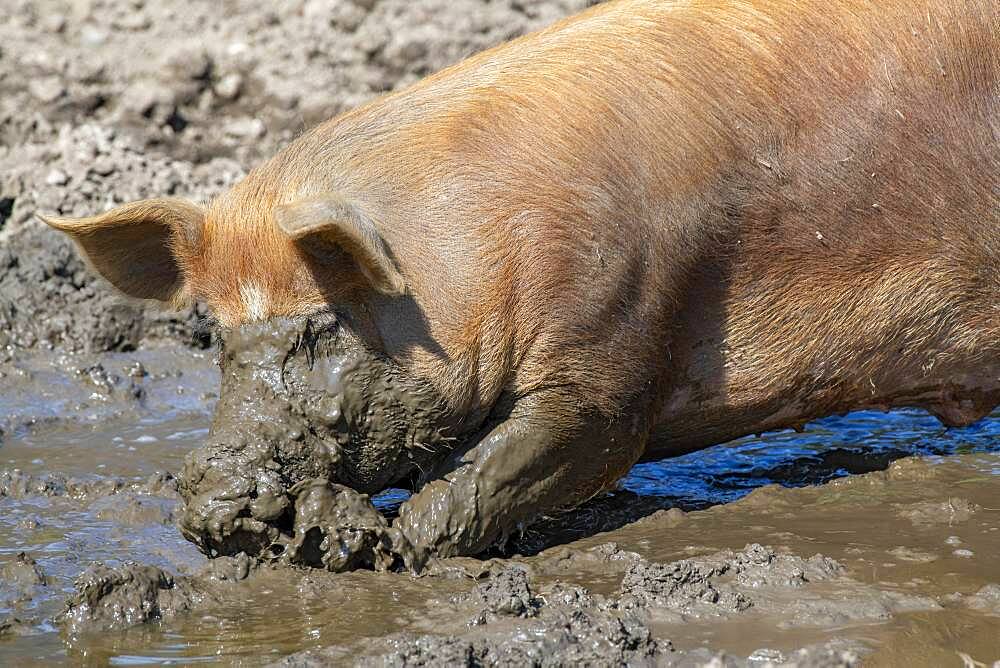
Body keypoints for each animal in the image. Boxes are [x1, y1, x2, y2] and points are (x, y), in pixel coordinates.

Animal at [41, 0, 1000, 568]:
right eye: (215, 335)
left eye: (321, 327)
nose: (212, 486)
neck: (466, 263)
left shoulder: (613, 344)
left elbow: (531, 457)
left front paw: (385, 550)